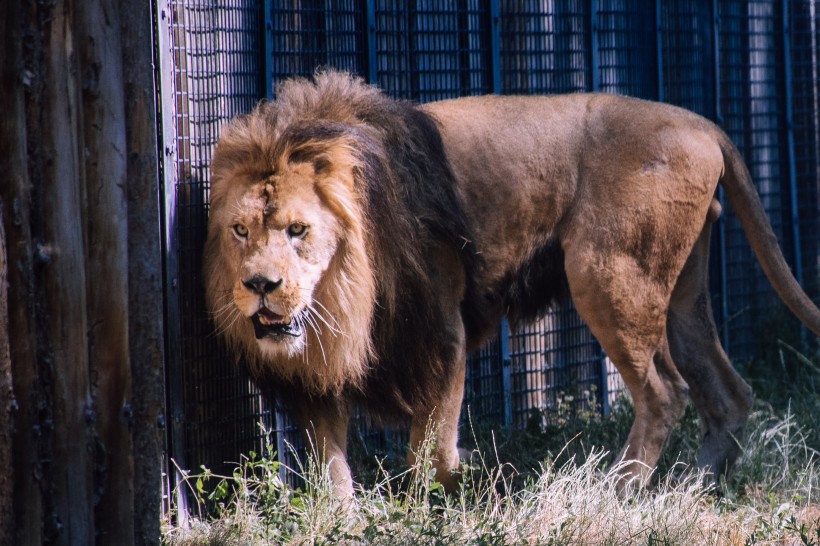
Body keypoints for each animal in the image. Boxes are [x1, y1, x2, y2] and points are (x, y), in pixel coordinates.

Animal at [203, 70, 820, 496]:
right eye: (240, 229)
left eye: (298, 229)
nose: (260, 284)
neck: (344, 291)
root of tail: (703, 123)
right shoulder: (319, 365)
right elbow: (329, 458)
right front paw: (344, 517)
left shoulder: (442, 327)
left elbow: (430, 445)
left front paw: (439, 501)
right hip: (682, 293)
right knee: (728, 390)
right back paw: (695, 483)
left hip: (608, 274)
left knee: (665, 391)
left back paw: (620, 490)